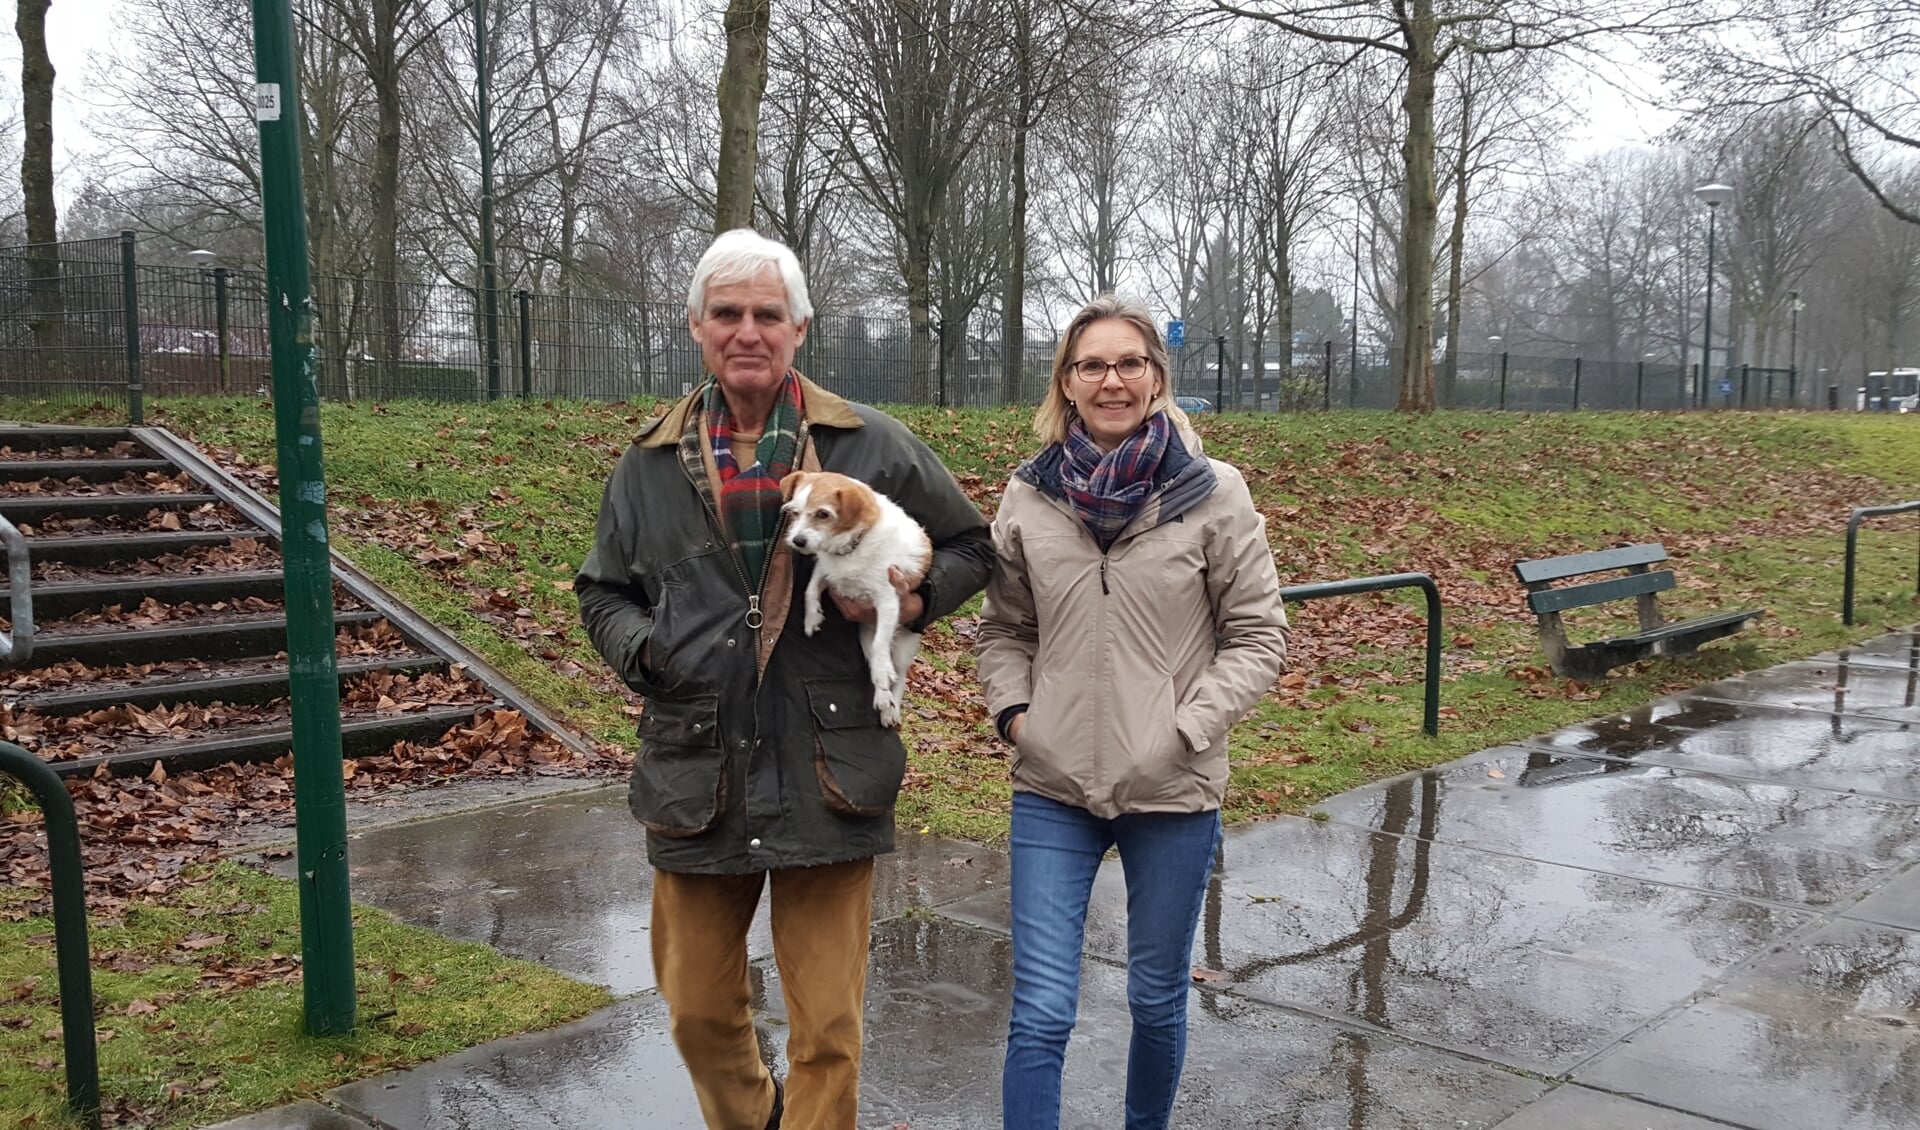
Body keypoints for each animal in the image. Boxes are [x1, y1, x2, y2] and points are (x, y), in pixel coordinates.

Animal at [779, 470, 929, 725]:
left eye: (823, 514)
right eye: (795, 512)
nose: (797, 541)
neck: (854, 545)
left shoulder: (888, 600)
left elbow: (881, 645)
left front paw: (883, 673)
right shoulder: (825, 569)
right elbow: (810, 590)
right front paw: (812, 617)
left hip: (903, 647)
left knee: (897, 674)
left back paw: (891, 706)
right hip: (865, 639)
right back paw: (883, 699)